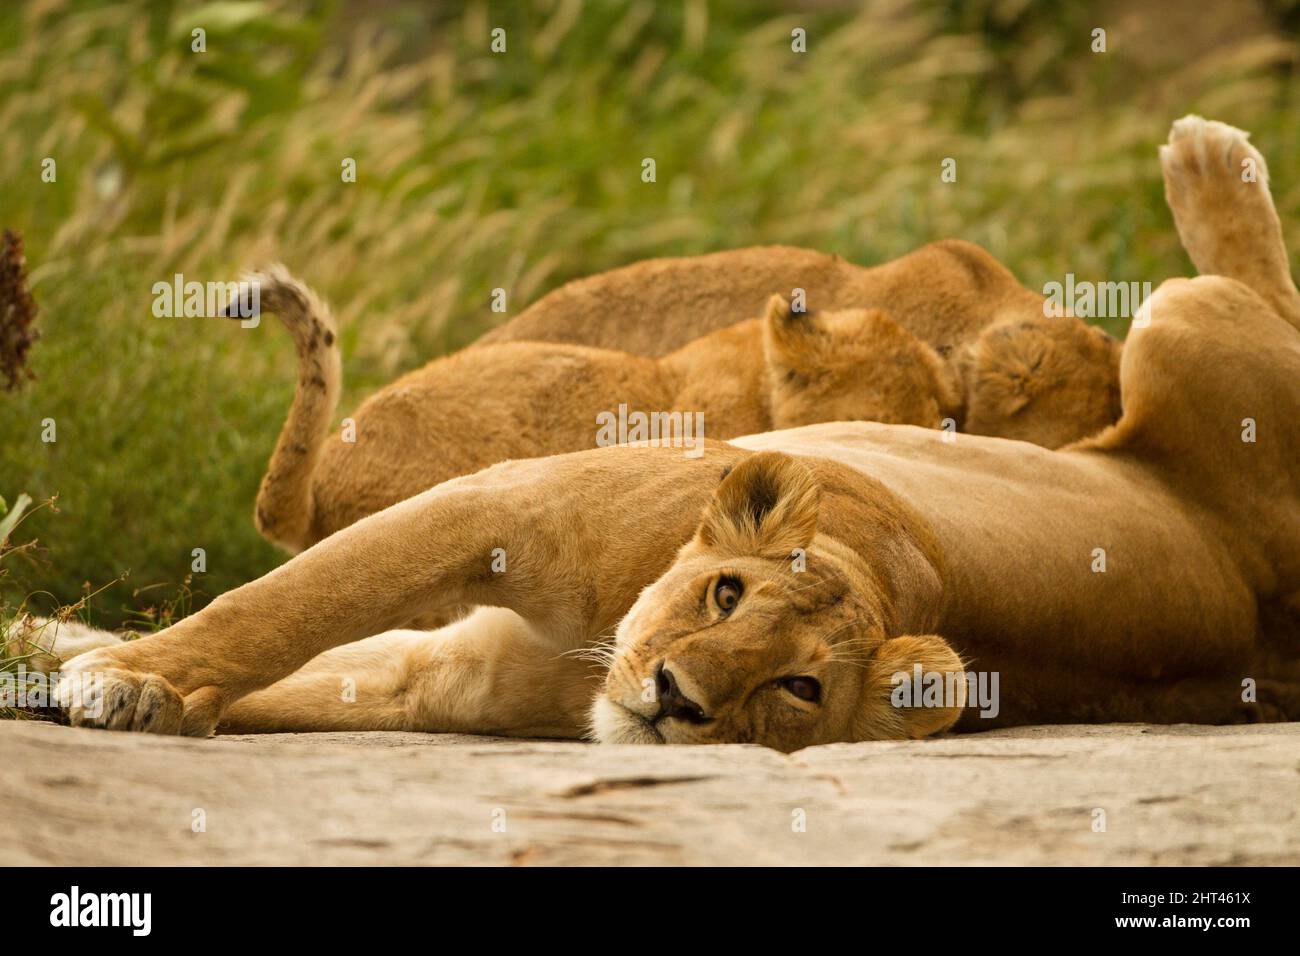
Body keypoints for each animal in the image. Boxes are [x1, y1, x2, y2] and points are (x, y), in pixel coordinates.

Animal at [47, 118, 1300, 751]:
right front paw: (131, 679)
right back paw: (1206, 150)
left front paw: (121, 677)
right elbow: (279, 614)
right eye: (725, 593)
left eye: (798, 686)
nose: (675, 695)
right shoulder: (497, 510)